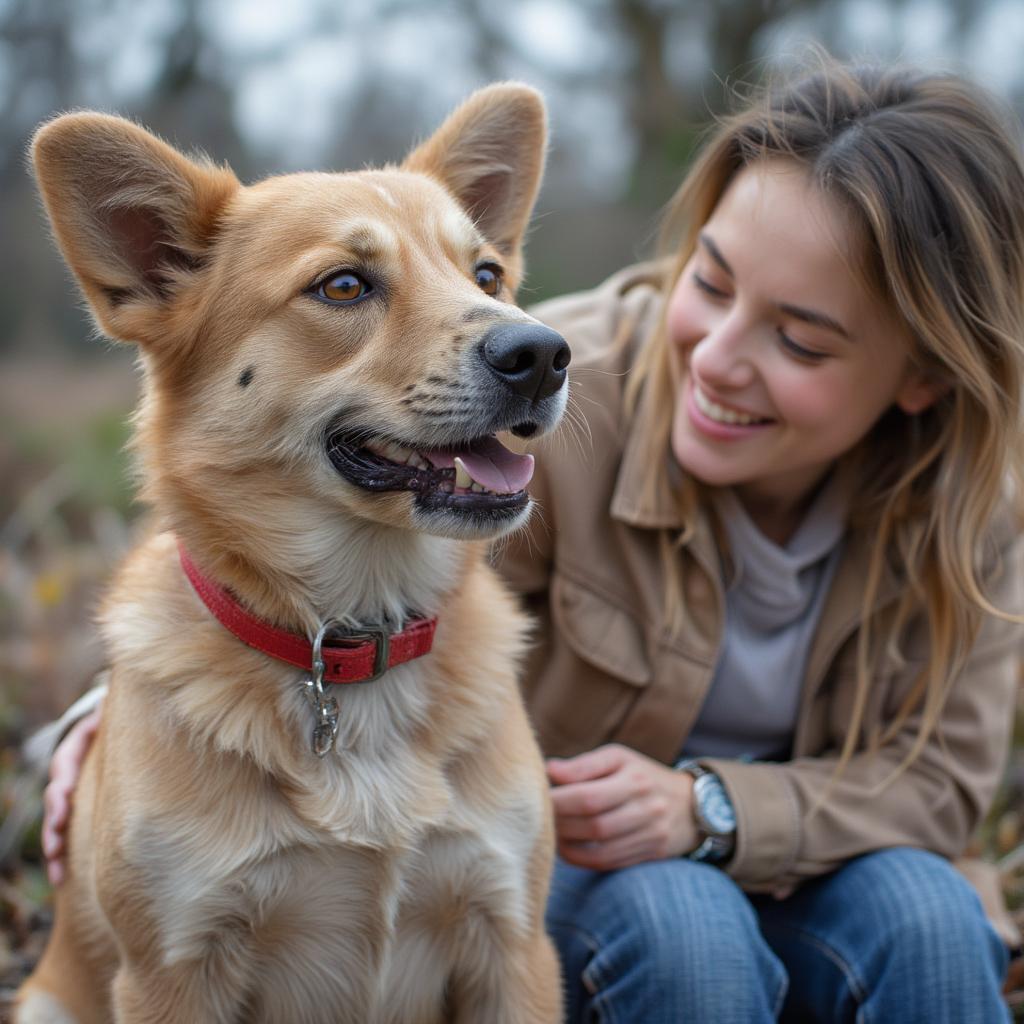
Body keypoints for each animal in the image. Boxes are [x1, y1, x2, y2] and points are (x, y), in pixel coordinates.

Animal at [14, 81, 569, 1024]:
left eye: (487, 275)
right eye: (343, 285)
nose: (542, 353)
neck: (352, 638)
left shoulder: (512, 944)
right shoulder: (173, 969)